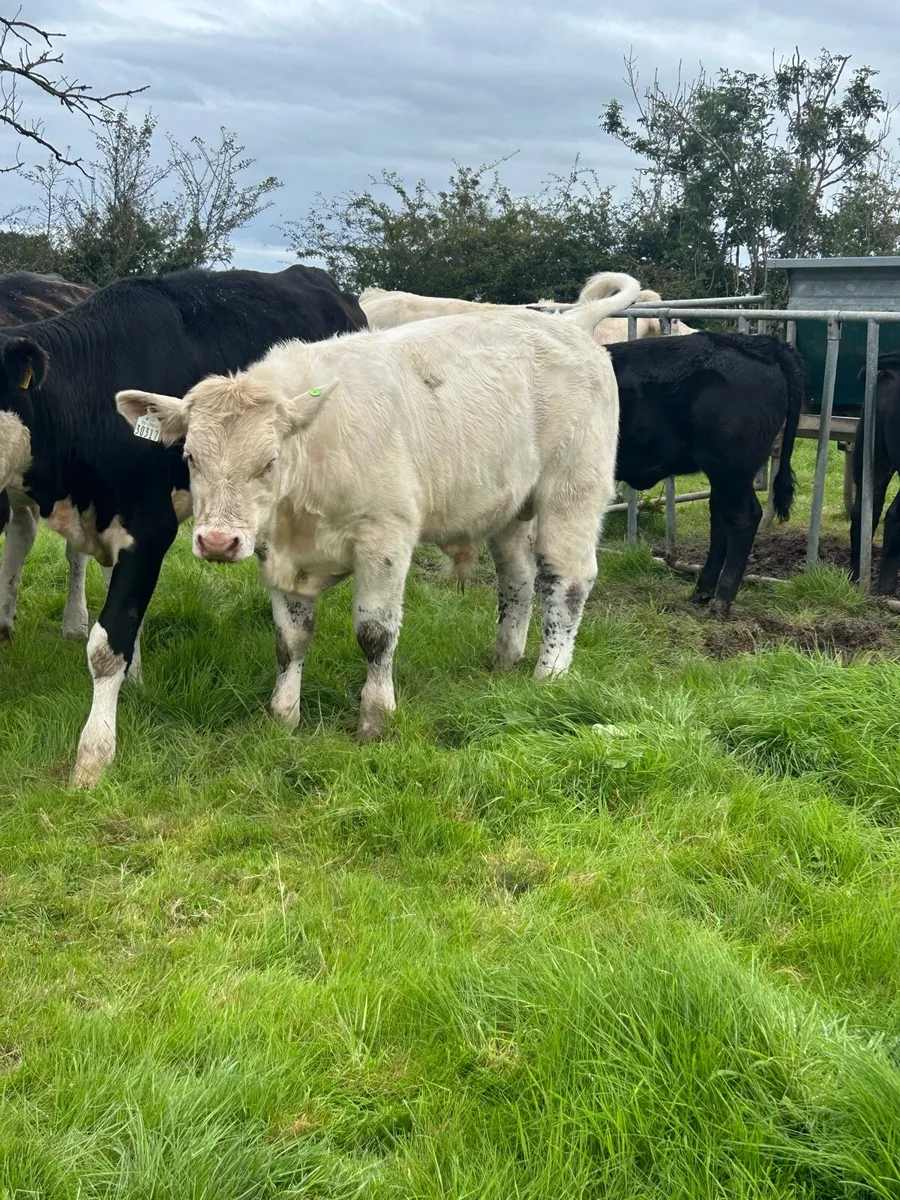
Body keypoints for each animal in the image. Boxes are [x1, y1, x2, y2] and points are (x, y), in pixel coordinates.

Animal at [116, 297, 624, 745]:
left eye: (269, 462)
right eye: (190, 457)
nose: (218, 542)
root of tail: (570, 324)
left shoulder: (385, 537)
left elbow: (375, 634)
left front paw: (375, 719)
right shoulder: (276, 554)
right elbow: (290, 640)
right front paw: (283, 716)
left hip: (573, 491)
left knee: (566, 581)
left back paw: (549, 675)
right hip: (509, 508)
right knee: (516, 579)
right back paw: (506, 659)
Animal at [607, 332, 805, 614]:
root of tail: (753, 342)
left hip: (731, 468)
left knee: (743, 518)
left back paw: (721, 600)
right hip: (725, 474)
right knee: (721, 519)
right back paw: (702, 591)